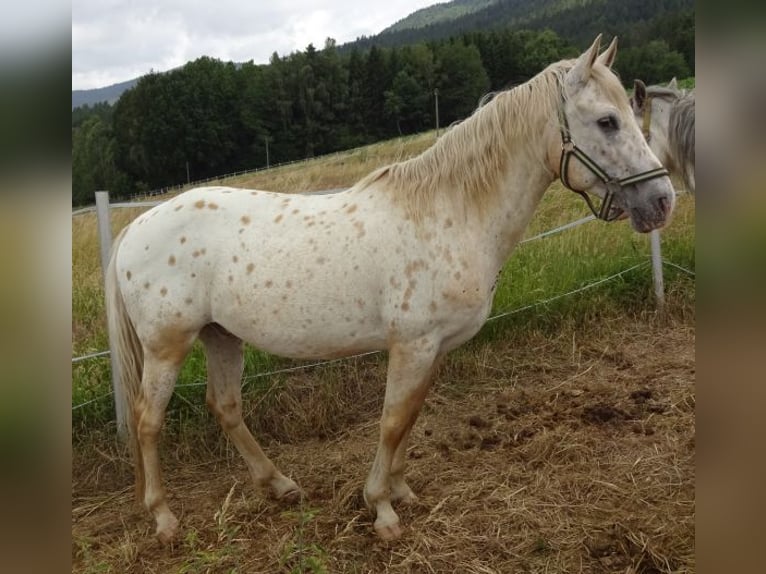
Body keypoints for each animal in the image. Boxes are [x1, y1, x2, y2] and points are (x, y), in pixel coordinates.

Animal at [106, 36, 672, 544]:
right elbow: (392, 421)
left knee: (224, 407)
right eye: (607, 121)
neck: (450, 212)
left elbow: (411, 417)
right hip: (168, 346)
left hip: (221, 335)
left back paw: (280, 484)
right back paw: (163, 519)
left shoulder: (434, 348)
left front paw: (400, 491)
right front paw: (381, 509)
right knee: (148, 421)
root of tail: (133, 231)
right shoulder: (413, 345)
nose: (662, 200)